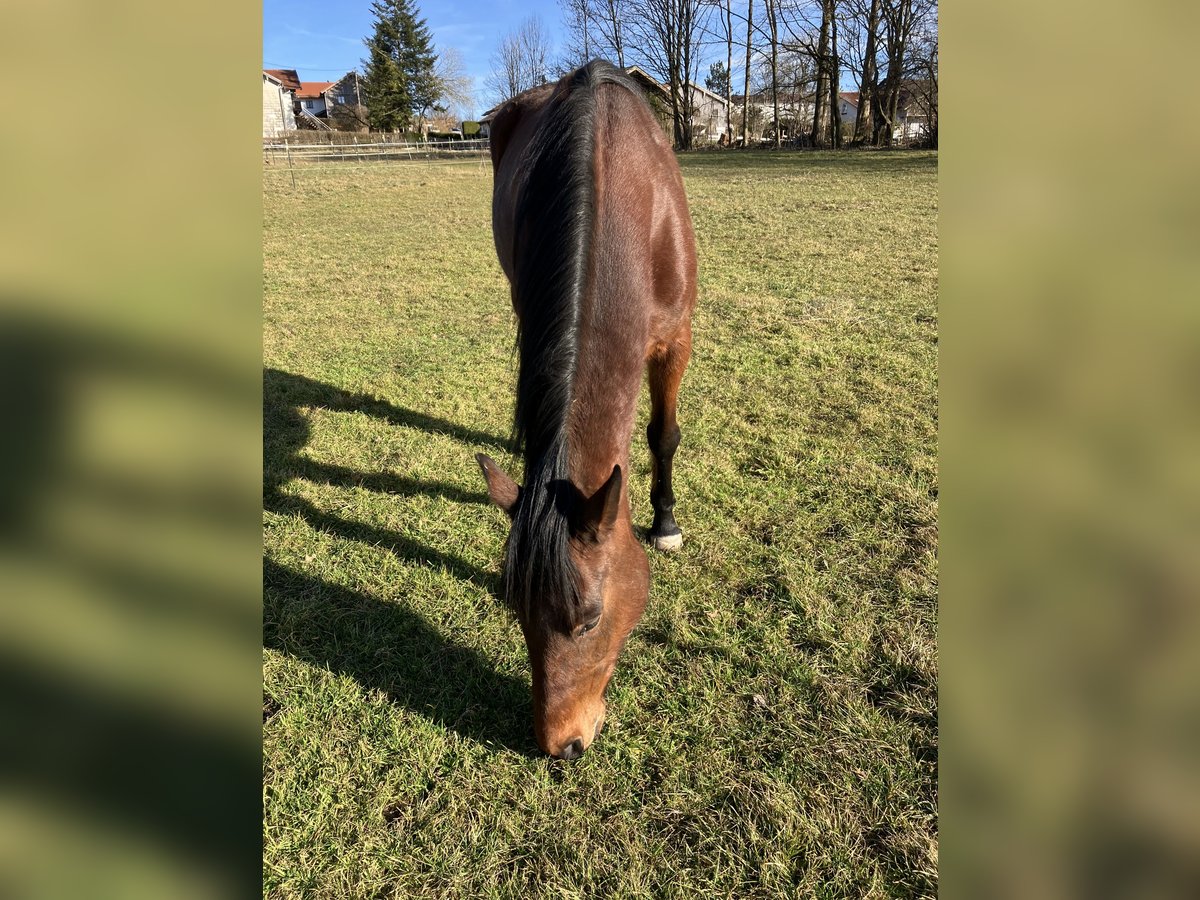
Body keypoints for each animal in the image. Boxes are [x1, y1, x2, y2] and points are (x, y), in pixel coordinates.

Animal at [477, 60, 700, 758]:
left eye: (589, 619)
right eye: (516, 612)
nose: (560, 746)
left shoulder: (676, 338)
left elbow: (663, 435)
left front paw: (665, 523)